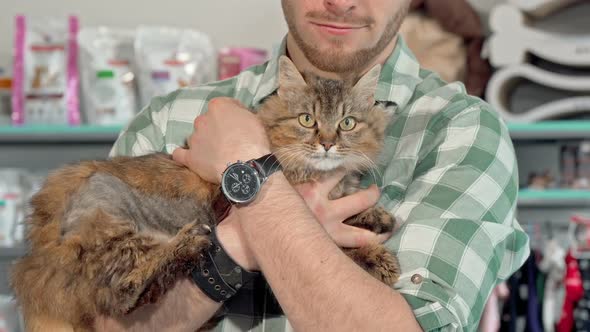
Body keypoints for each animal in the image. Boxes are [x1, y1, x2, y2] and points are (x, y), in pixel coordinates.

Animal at [10, 55, 402, 330]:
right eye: (307, 119)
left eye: (347, 123)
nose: (327, 144)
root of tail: (33, 259)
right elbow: (333, 237)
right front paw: (376, 254)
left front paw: (377, 220)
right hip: (107, 211)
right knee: (124, 288)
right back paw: (188, 244)